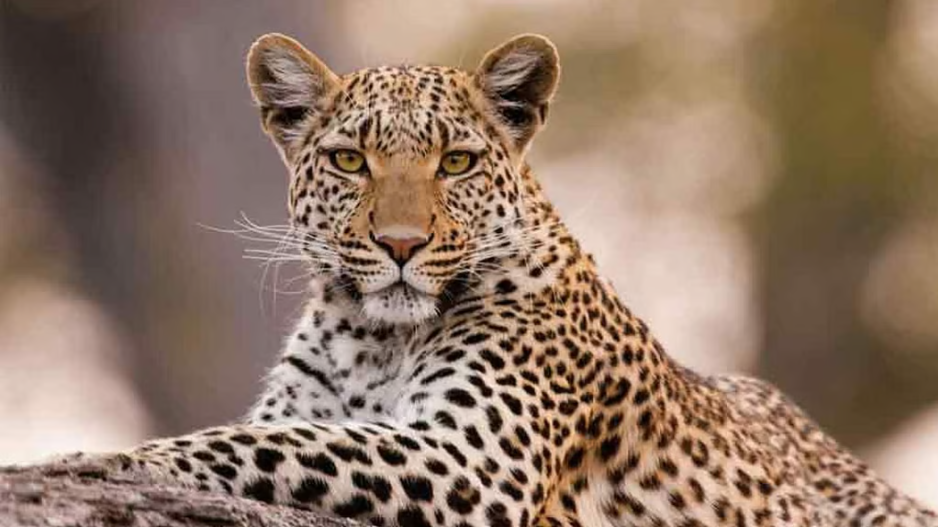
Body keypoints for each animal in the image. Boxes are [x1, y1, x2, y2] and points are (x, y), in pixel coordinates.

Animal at [35, 33, 937, 527]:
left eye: (457, 162)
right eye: (350, 161)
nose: (400, 244)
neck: (374, 337)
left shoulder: (473, 460)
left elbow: (255, 442)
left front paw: (92, 460)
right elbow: (274, 431)